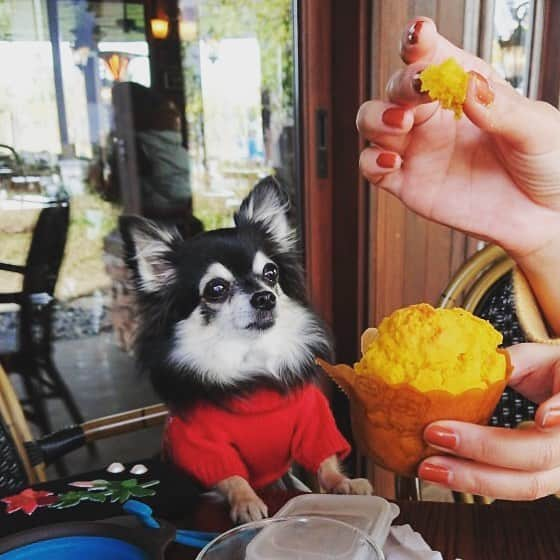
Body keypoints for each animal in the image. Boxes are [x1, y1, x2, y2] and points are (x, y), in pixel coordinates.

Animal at [120, 177, 370, 524]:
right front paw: (245, 501)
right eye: (216, 289)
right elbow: (230, 475)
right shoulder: (203, 445)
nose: (265, 297)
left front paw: (342, 483)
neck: (253, 364)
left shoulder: (314, 422)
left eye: (271, 273)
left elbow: (324, 459)